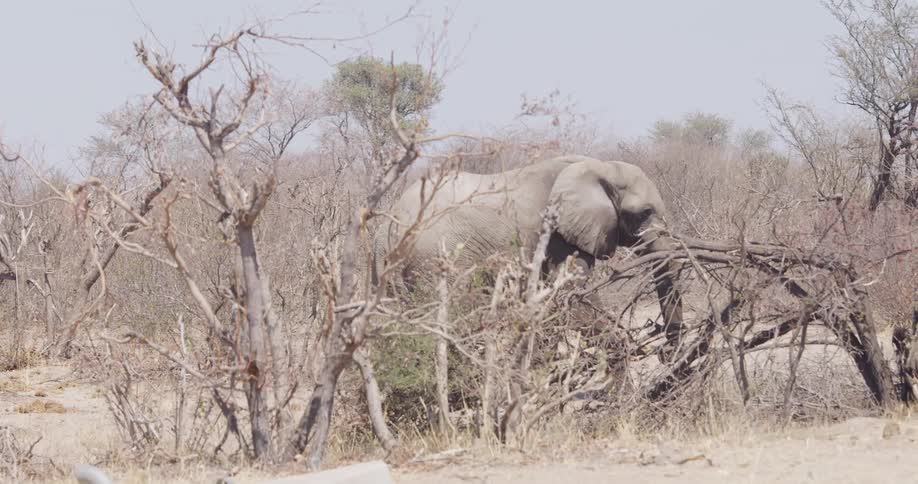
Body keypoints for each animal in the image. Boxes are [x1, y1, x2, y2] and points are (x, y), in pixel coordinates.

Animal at [374, 154, 684, 345]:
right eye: (645, 213)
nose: (666, 355)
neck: (599, 167)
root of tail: (390, 224)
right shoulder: (556, 233)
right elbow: (572, 294)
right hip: (436, 259)